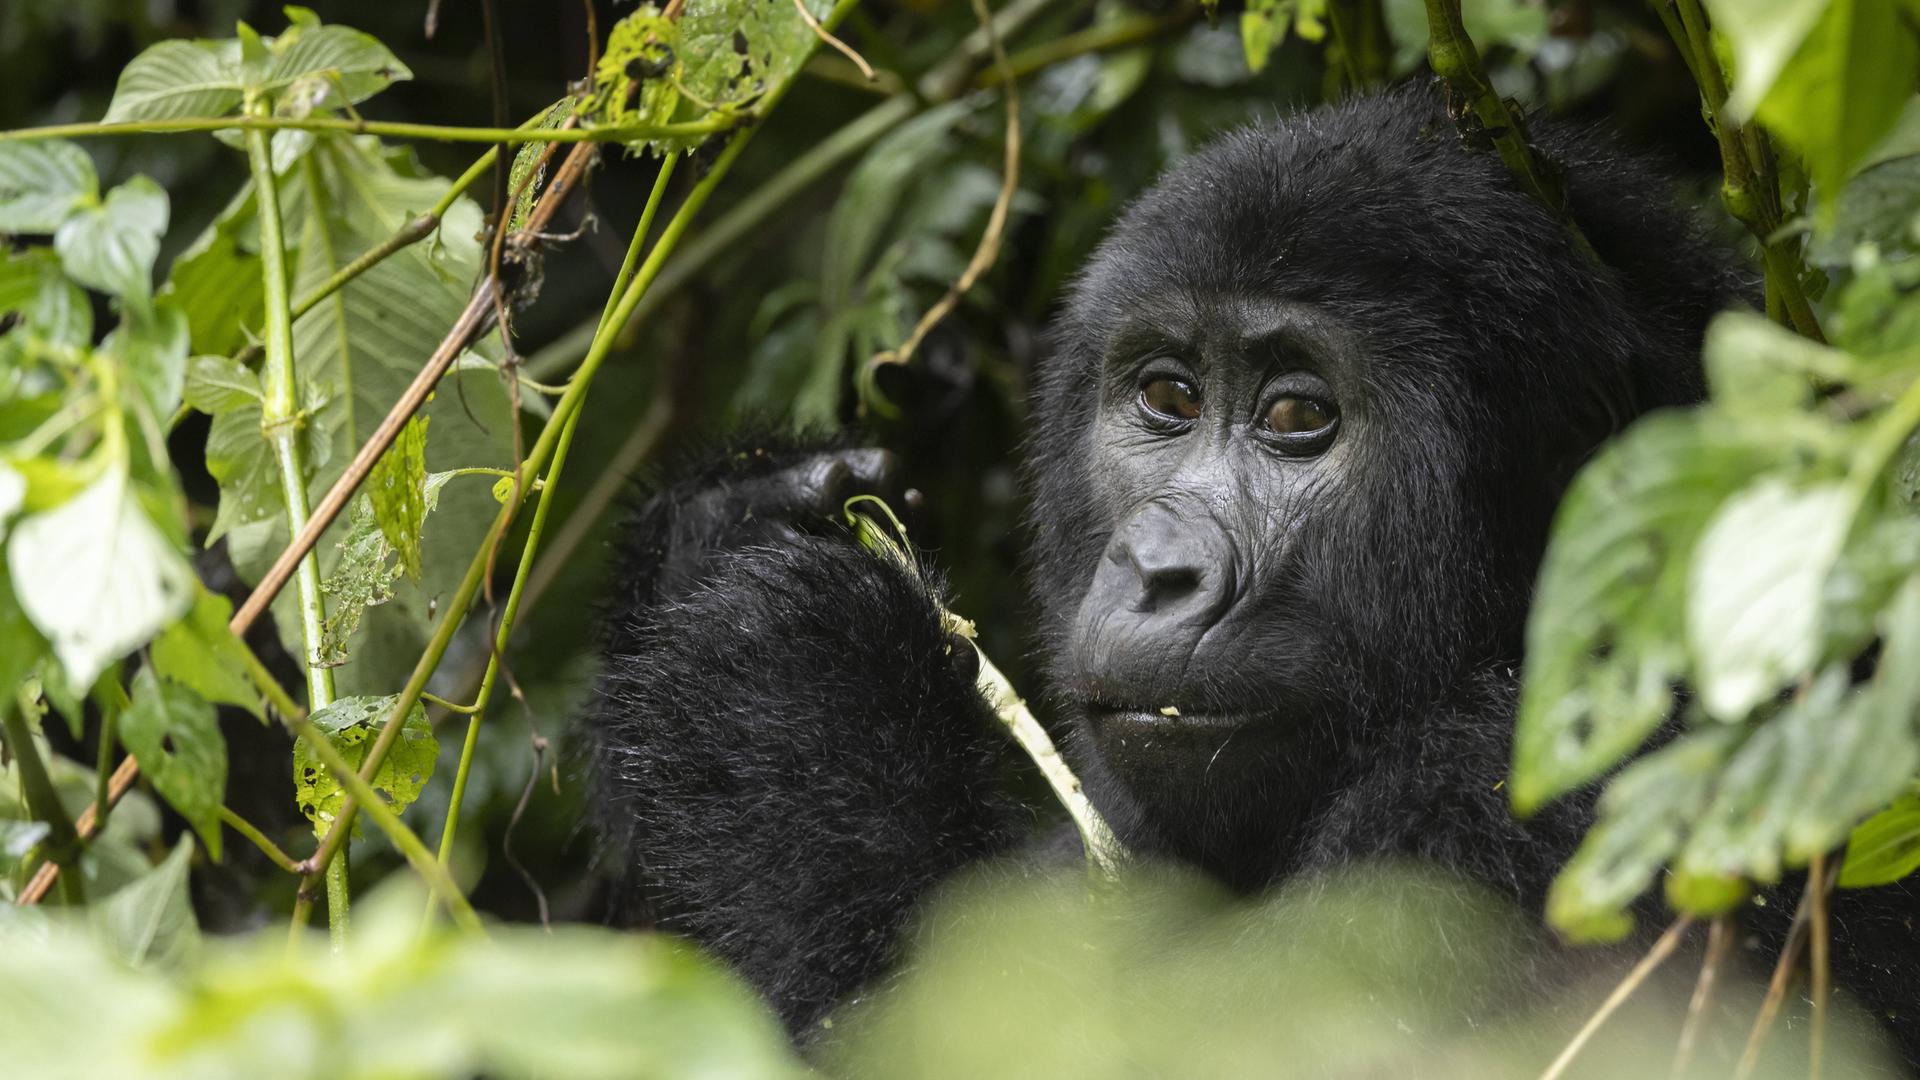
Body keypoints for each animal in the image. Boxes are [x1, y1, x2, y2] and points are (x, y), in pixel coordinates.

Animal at [583, 82, 1920, 1053]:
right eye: (1169, 399)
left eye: (1296, 420)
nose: (1156, 569)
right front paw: (729, 522)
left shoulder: (1579, 803)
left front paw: (788, 673)